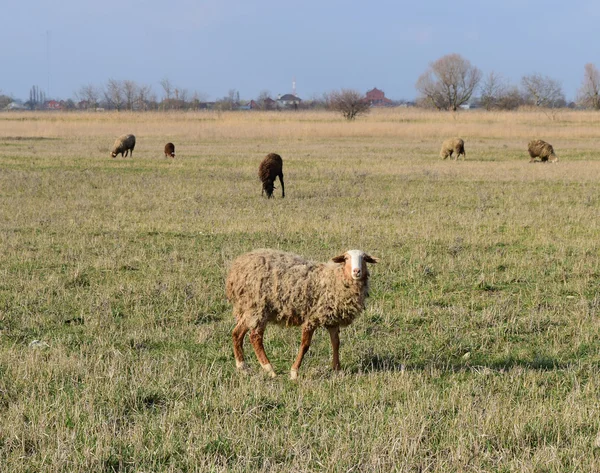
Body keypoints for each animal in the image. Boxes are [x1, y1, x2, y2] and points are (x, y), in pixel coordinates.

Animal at [227, 249, 378, 378]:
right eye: (346, 258)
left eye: (364, 258)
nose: (357, 271)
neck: (334, 279)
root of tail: (236, 269)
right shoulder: (311, 318)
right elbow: (305, 345)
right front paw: (294, 372)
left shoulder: (332, 319)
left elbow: (336, 343)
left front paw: (337, 369)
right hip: (258, 308)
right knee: (255, 337)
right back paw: (269, 369)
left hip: (249, 309)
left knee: (237, 333)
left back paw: (242, 367)